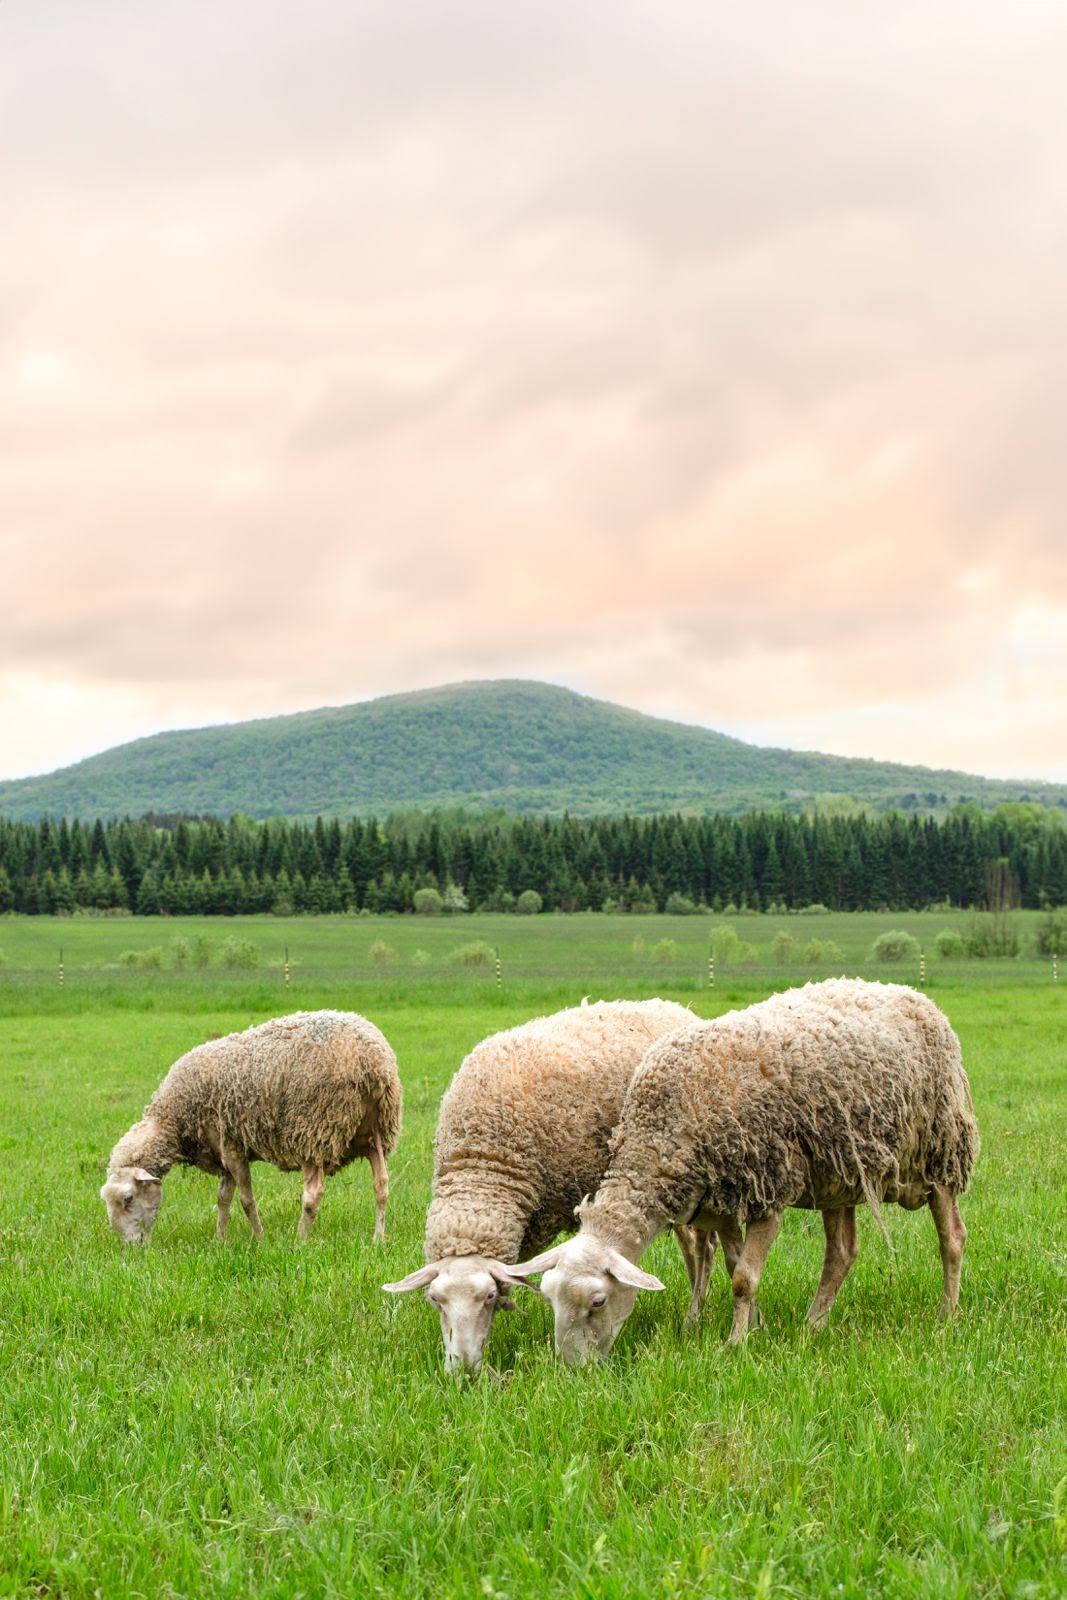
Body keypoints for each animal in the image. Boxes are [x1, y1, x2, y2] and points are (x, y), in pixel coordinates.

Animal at [101, 1010, 402, 1245]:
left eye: (128, 1198)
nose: (131, 1248)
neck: (172, 1120)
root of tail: (372, 1062)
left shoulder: (233, 1147)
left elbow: (246, 1200)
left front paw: (259, 1239)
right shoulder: (224, 1151)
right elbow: (223, 1198)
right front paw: (219, 1240)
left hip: (314, 1129)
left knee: (313, 1194)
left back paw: (300, 1242)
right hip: (376, 1132)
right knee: (382, 1185)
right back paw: (378, 1239)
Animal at [381, 998, 709, 1377]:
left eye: (489, 1296)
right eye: (435, 1299)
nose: (463, 1371)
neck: (482, 1161)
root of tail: (671, 1005)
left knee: (696, 1248)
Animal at [513, 979, 979, 1364]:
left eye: (597, 1302)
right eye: (549, 1299)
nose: (573, 1370)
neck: (663, 1132)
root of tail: (910, 993)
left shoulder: (767, 1188)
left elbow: (742, 1279)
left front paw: (735, 1344)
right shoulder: (720, 1201)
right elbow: (734, 1264)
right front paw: (756, 1327)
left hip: (940, 1150)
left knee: (952, 1239)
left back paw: (947, 1315)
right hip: (837, 1173)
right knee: (842, 1253)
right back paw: (812, 1325)